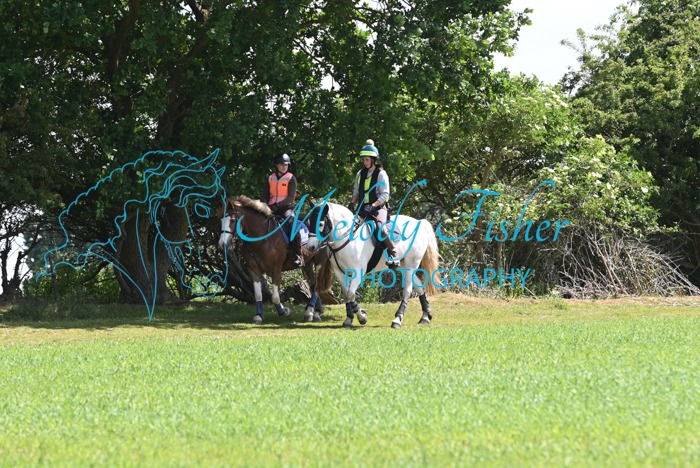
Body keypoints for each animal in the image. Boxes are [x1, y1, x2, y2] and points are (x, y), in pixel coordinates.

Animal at [219, 195, 332, 324]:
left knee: (317, 286)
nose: (222, 244)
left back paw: (311, 313)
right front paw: (259, 316)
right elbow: (258, 295)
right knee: (313, 284)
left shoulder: (276, 269)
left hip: (320, 261)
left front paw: (285, 311)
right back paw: (316, 311)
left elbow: (275, 297)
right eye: (221, 220)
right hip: (307, 264)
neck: (262, 238)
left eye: (233, 220)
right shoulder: (253, 270)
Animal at [304, 201, 441, 328]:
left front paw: (362, 317)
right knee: (419, 287)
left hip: (411, 264)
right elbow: (347, 294)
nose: (310, 247)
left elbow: (350, 294)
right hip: (403, 266)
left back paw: (397, 319)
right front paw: (349, 319)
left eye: (320, 224)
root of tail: (420, 223)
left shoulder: (358, 271)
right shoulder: (340, 272)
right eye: (310, 222)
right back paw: (425, 316)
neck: (347, 238)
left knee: (407, 290)